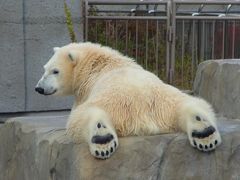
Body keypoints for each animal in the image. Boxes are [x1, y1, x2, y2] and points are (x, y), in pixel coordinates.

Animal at [35, 41, 221, 159]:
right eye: (45, 69)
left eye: (55, 71)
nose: (39, 88)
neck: (96, 63)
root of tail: (140, 112)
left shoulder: (85, 93)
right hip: (168, 100)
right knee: (194, 104)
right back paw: (205, 133)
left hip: (108, 101)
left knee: (83, 117)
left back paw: (102, 140)